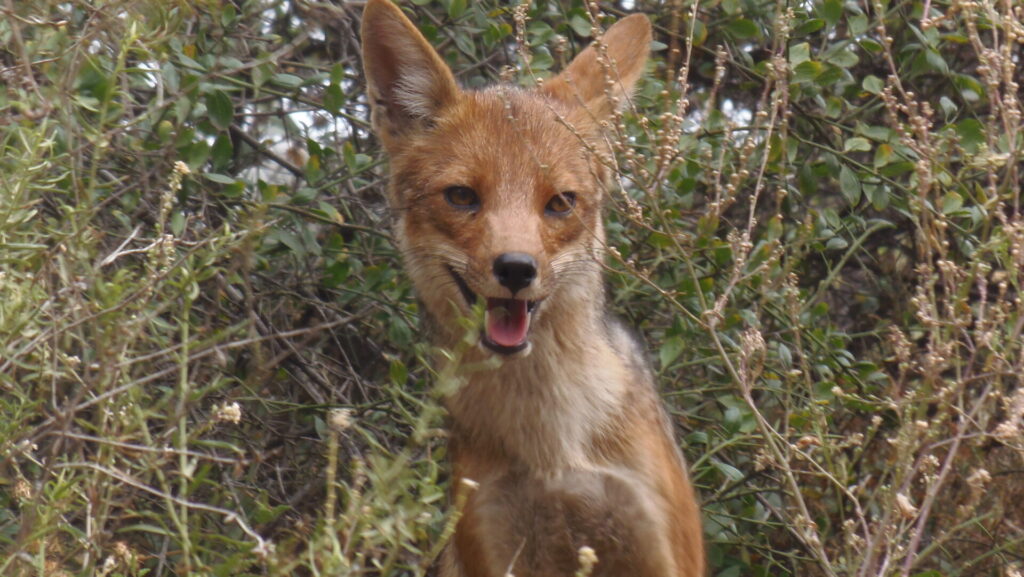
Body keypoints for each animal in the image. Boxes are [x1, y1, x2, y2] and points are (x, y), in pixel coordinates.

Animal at [360, 0, 704, 573]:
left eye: (560, 203)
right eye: (462, 196)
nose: (517, 269)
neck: (552, 446)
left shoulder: (662, 549)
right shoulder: (491, 542)